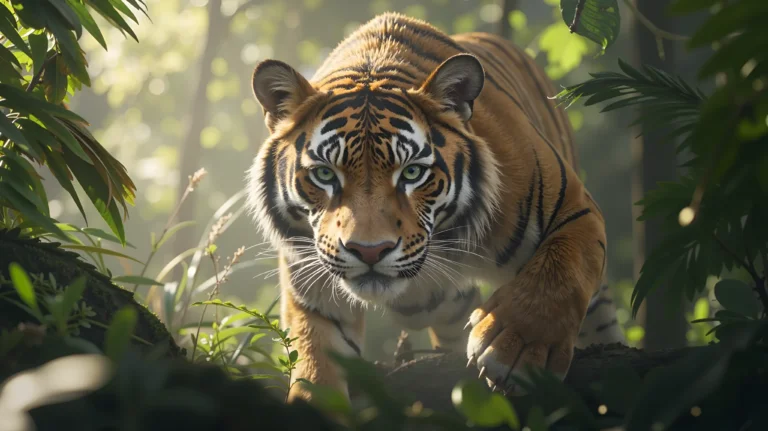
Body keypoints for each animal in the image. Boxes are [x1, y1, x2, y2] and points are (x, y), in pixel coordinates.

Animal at [245, 12, 626, 402]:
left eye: (412, 172)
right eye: (324, 173)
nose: (369, 251)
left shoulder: (574, 207)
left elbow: (560, 270)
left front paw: (515, 347)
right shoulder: (311, 281)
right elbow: (315, 361)